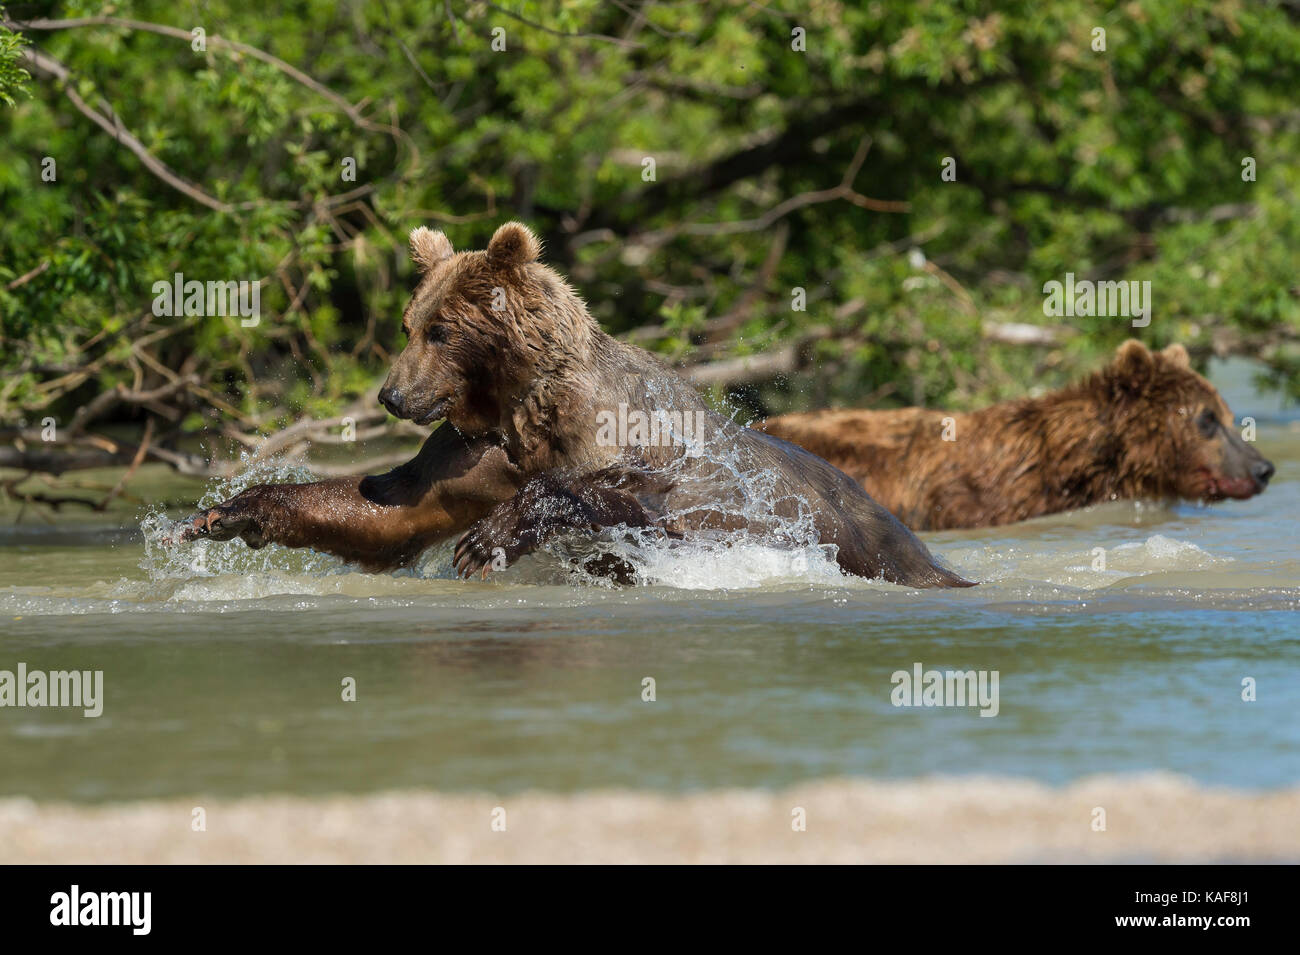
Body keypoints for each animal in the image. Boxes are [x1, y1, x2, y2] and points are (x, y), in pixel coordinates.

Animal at [183, 224, 977, 589]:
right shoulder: (474, 452)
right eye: (409, 323)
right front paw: (230, 510)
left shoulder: (629, 441)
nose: (391, 393)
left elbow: (629, 492)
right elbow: (396, 505)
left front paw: (486, 540)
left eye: (441, 329)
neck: (516, 403)